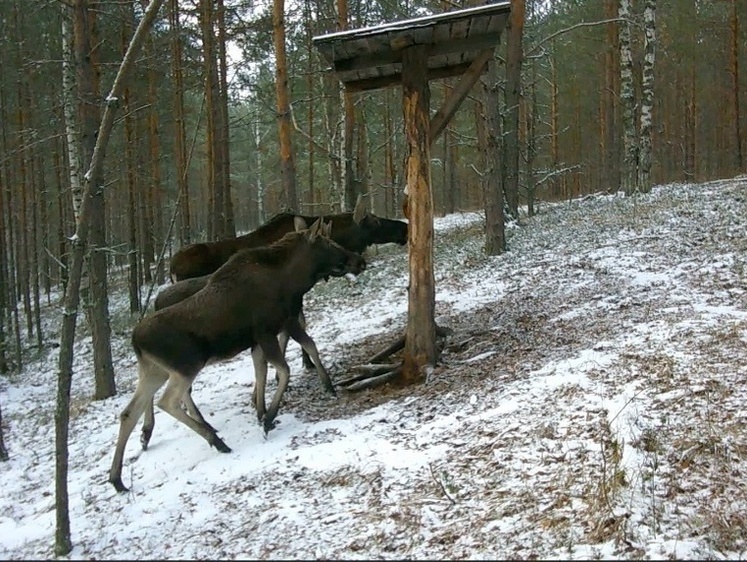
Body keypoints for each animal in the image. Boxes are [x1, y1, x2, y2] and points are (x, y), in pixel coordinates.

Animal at [109, 219, 366, 490]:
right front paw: (268, 418)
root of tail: (135, 340)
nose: (359, 261)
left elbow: (266, 368)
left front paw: (262, 410)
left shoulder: (262, 338)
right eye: (331, 243)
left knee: (128, 413)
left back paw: (118, 478)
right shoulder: (267, 331)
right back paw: (215, 440)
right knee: (168, 401)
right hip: (186, 366)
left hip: (154, 371)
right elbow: (284, 369)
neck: (292, 281)